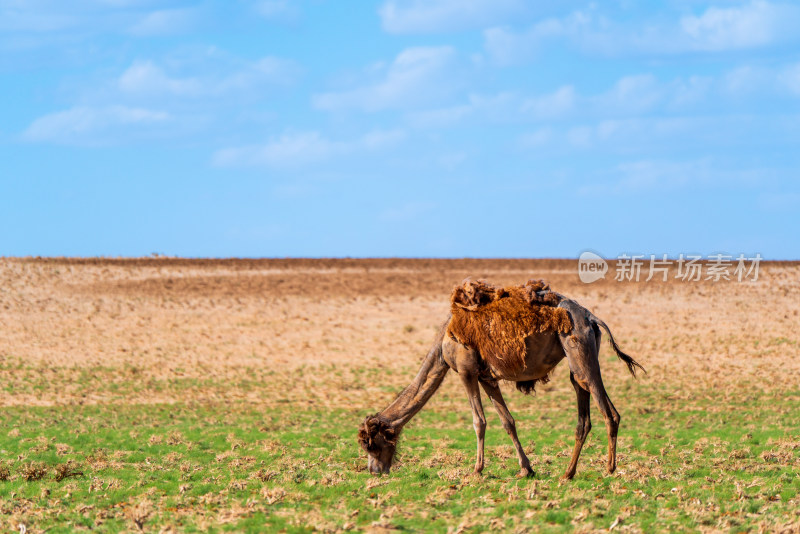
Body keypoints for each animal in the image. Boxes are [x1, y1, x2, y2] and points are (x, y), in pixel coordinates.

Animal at [356, 280, 644, 482]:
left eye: (372, 444)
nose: (374, 471)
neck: (442, 345)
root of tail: (591, 318)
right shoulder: (487, 377)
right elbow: (508, 422)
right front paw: (526, 469)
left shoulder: (466, 371)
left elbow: (479, 421)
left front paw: (476, 470)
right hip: (579, 360)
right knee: (586, 414)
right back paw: (568, 474)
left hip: (579, 350)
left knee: (608, 412)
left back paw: (609, 469)